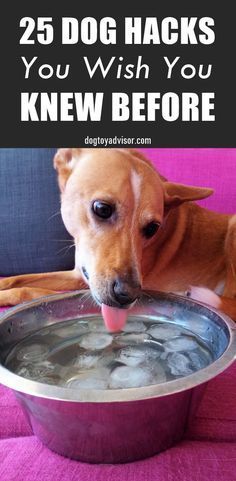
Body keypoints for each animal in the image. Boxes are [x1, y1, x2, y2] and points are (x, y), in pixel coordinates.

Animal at [0, 148, 235, 328]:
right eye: (102, 209)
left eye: (153, 228)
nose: (127, 295)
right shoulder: (78, 274)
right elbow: (17, 279)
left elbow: (32, 290)